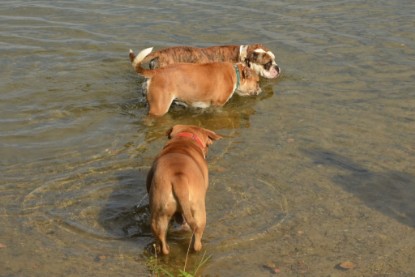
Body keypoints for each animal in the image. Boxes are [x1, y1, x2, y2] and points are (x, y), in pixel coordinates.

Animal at [130, 47, 262, 116]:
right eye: (257, 81)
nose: (260, 90)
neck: (235, 73)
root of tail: (156, 72)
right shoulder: (218, 105)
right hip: (159, 107)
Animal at [147, 124, 224, 253]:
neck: (184, 138)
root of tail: (178, 179)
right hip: (198, 211)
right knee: (197, 239)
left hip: (160, 214)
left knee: (161, 240)